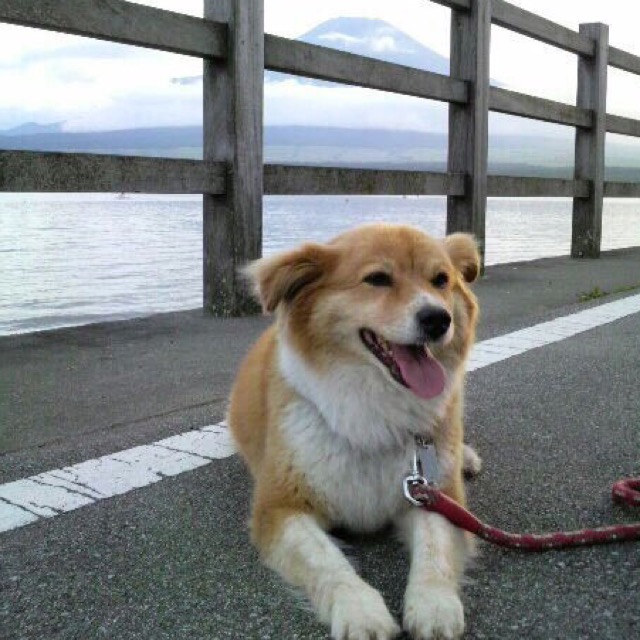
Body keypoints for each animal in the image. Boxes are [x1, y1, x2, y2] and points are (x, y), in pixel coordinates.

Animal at [229, 225, 480, 640]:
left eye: (441, 280)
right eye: (377, 279)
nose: (437, 319)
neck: (373, 411)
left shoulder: (436, 494)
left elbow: (434, 549)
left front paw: (433, 602)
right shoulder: (281, 507)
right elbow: (327, 561)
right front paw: (360, 609)